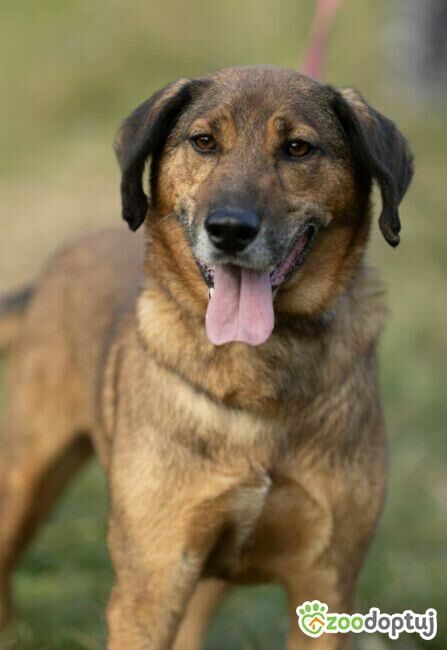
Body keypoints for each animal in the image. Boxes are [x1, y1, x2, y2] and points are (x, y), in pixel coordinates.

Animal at [0, 65, 413, 649]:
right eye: (203, 142)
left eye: (298, 148)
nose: (231, 230)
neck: (256, 373)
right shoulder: (151, 584)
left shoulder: (327, 584)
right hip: (25, 481)